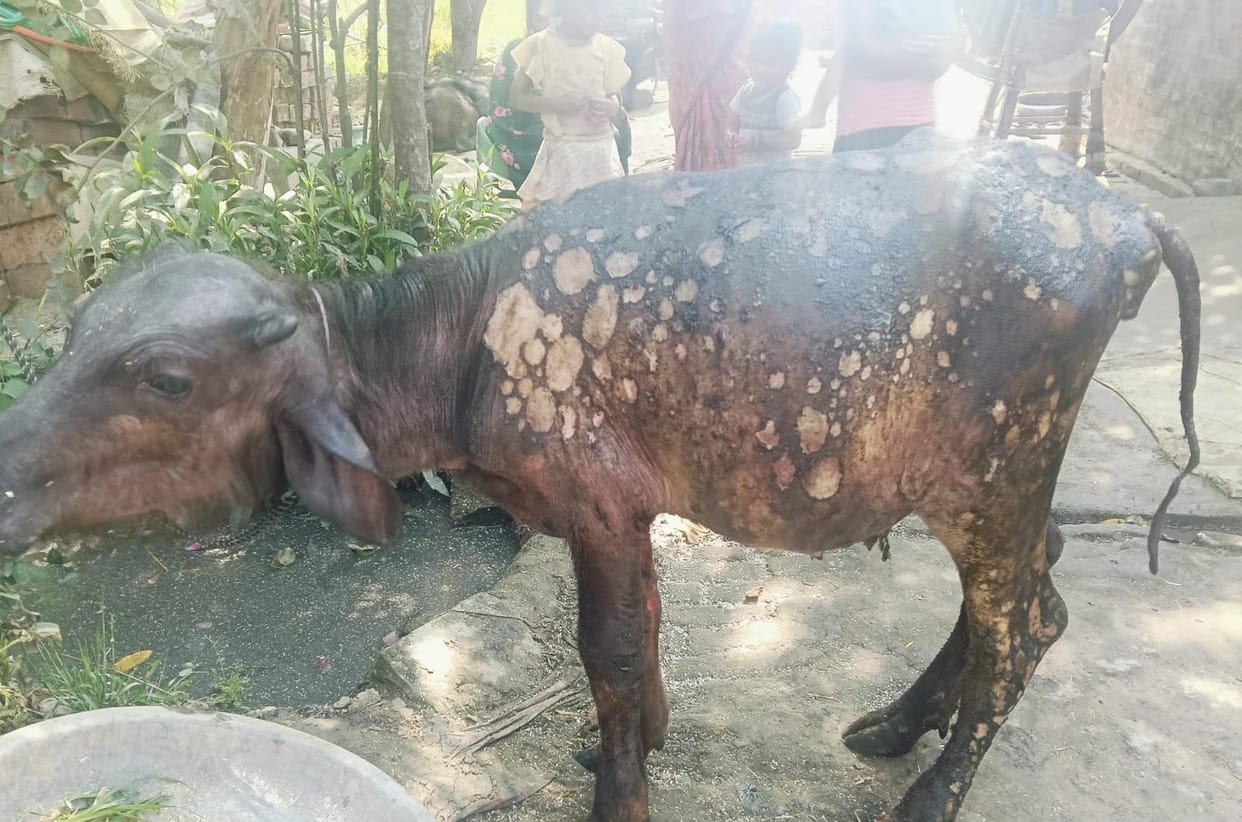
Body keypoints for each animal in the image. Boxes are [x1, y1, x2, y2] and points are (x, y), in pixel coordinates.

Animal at [0, 132, 1200, 821]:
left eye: (166, 378)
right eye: (79, 326)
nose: (7, 475)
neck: (462, 343)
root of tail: (1128, 215)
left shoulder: (598, 504)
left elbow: (608, 650)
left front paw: (622, 792)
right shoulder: (624, 514)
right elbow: (647, 635)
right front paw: (639, 743)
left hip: (995, 470)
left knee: (1027, 625)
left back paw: (928, 791)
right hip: (992, 482)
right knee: (1027, 588)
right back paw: (899, 726)